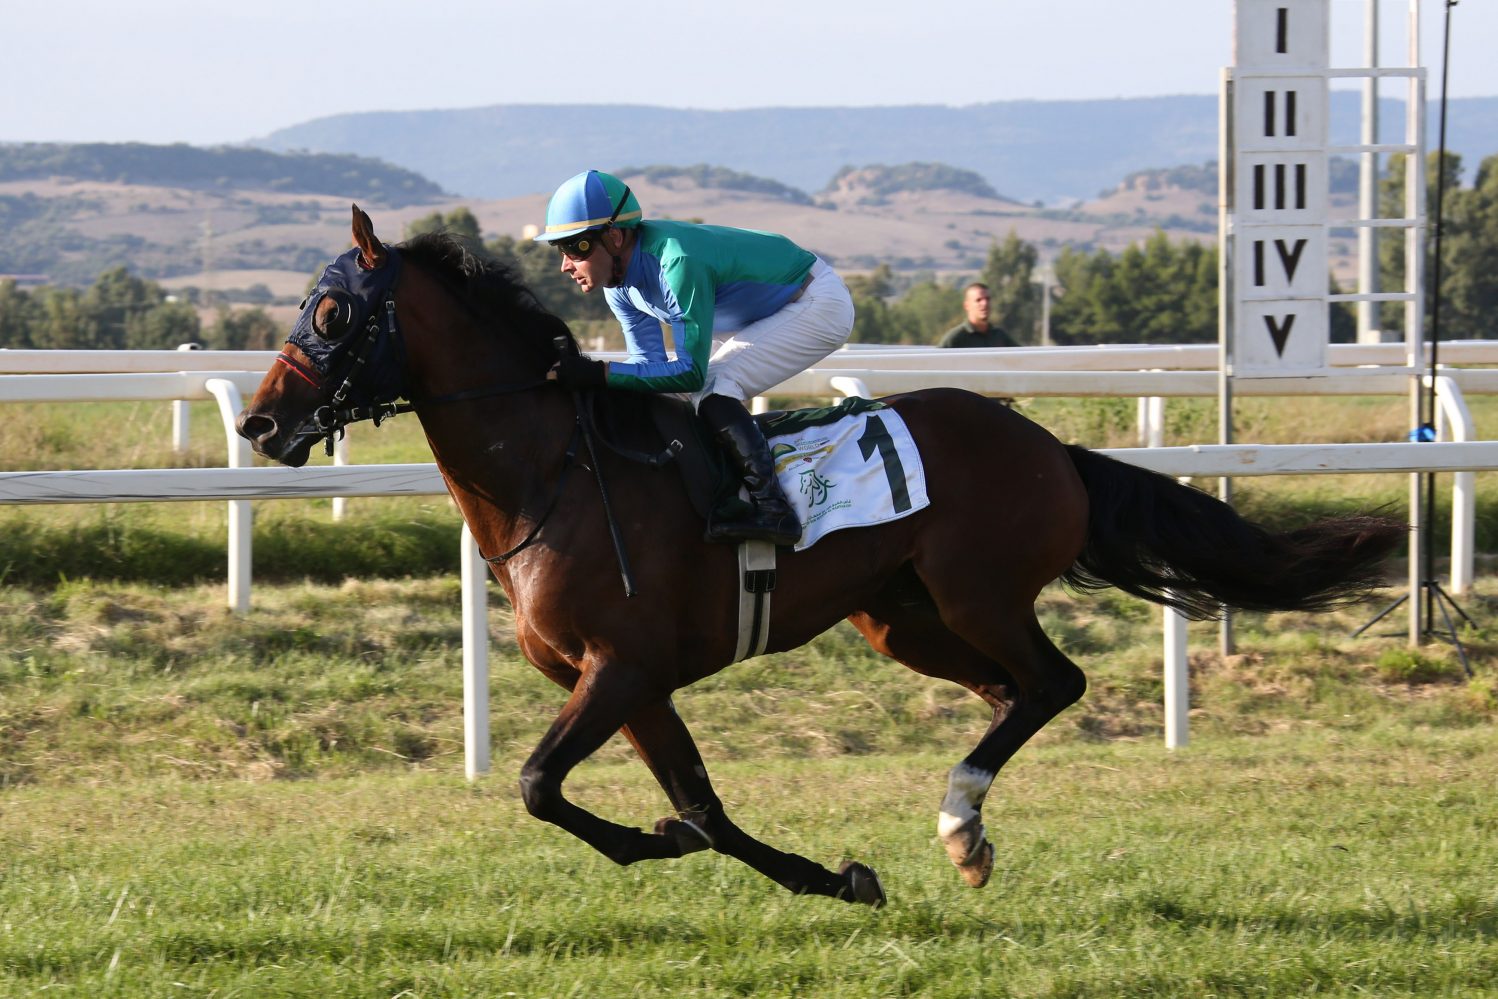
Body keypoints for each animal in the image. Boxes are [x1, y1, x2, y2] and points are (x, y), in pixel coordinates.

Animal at [233, 206, 1402, 910]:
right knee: (1010, 691)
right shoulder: (628, 679)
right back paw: (969, 829)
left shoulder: (619, 667)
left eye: (332, 310)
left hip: (976, 591)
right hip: (900, 617)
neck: (552, 475)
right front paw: (824, 874)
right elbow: (696, 806)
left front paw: (668, 841)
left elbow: (534, 784)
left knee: (1054, 681)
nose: (257, 423)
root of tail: (1045, 441)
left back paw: (959, 819)